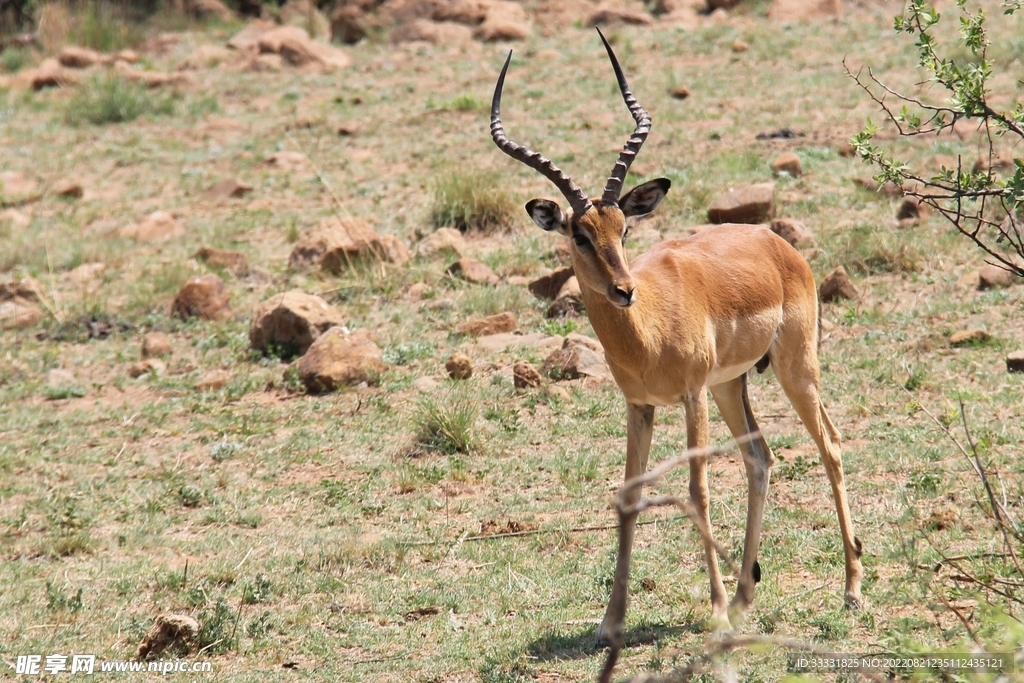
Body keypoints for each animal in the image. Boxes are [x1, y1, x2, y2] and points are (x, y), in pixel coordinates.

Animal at [489, 29, 864, 647]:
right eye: (579, 234)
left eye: (624, 228)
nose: (623, 290)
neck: (646, 333)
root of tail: (776, 242)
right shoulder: (639, 405)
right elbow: (630, 495)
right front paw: (608, 622)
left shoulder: (689, 397)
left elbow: (697, 491)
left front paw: (712, 613)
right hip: (731, 386)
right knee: (760, 458)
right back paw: (745, 593)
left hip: (793, 369)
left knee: (829, 446)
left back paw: (852, 590)